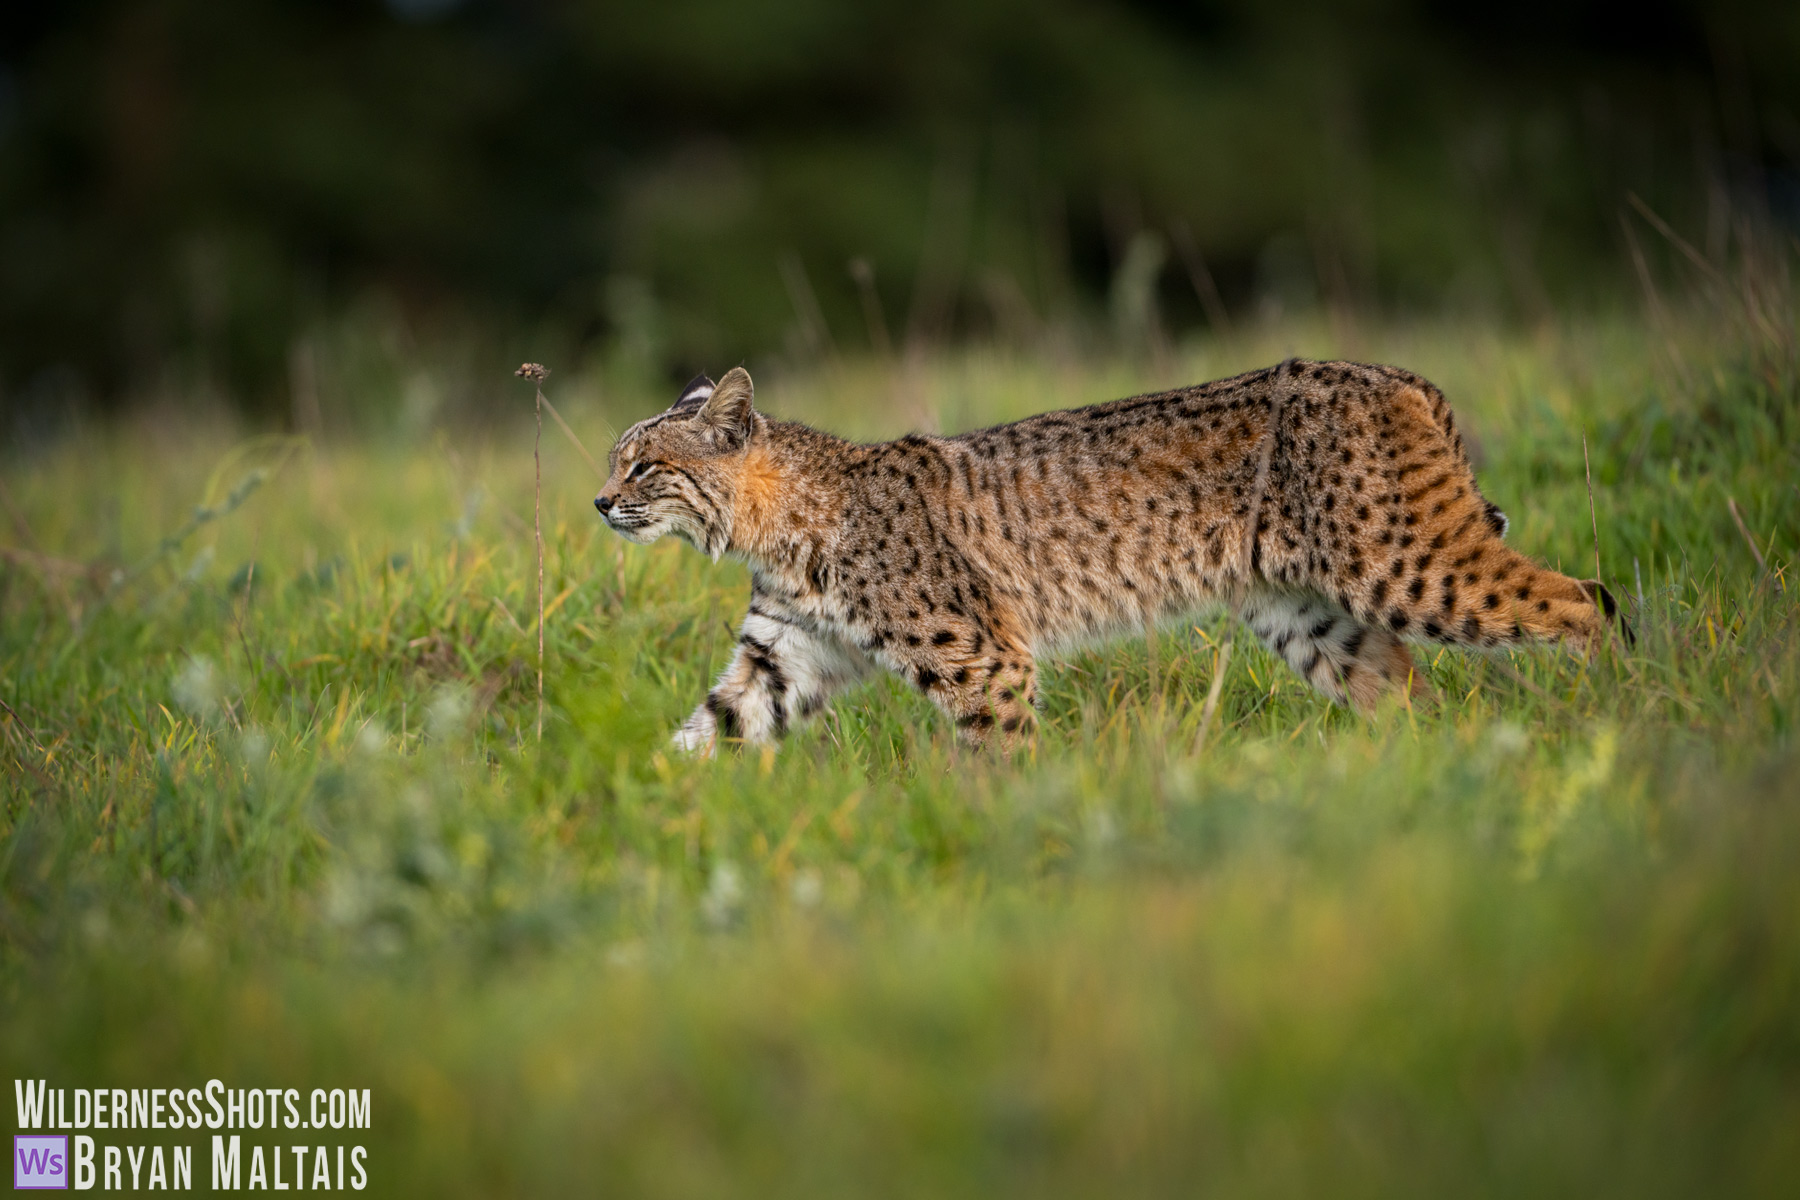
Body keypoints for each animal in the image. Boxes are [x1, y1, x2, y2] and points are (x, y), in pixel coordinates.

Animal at [594, 360, 1626, 753]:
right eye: (615, 462)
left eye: (643, 466)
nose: (600, 502)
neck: (775, 525)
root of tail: (1393, 372)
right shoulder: (783, 655)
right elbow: (705, 732)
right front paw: (643, 820)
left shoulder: (981, 654)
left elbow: (994, 753)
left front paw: (1000, 841)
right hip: (1308, 609)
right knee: (1405, 692)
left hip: (1399, 559)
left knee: (1585, 596)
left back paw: (1625, 718)